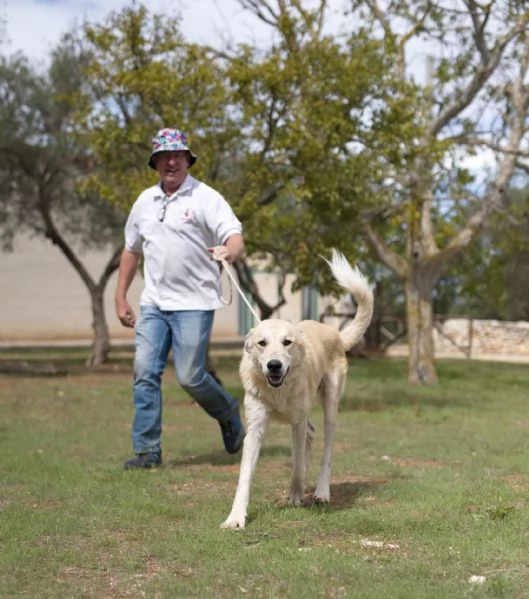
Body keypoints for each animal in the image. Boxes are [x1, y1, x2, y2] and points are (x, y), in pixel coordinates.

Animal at [221, 248, 374, 528]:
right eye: (262, 343)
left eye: (287, 342)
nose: (274, 365)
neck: (277, 392)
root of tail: (336, 334)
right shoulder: (256, 426)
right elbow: (245, 475)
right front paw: (236, 517)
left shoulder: (297, 421)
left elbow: (296, 462)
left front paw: (295, 495)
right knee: (311, 436)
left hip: (331, 405)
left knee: (326, 449)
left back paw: (321, 491)